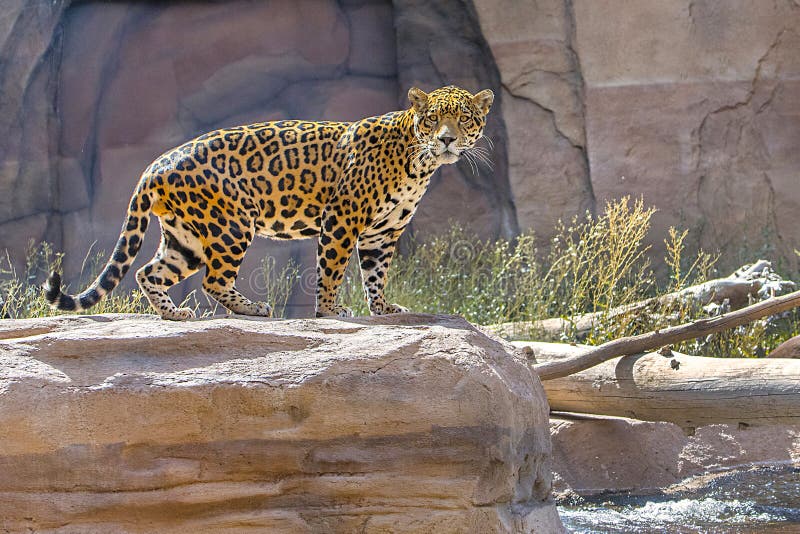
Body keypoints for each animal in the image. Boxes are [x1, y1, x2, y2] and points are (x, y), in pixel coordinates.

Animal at [44, 85, 494, 320]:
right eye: (433, 119)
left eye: (463, 118)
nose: (447, 139)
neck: (418, 161)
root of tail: (156, 164)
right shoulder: (342, 218)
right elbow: (331, 270)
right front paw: (330, 312)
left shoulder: (382, 232)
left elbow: (376, 273)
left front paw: (383, 308)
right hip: (230, 224)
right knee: (212, 279)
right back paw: (252, 309)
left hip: (186, 237)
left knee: (148, 272)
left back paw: (174, 314)